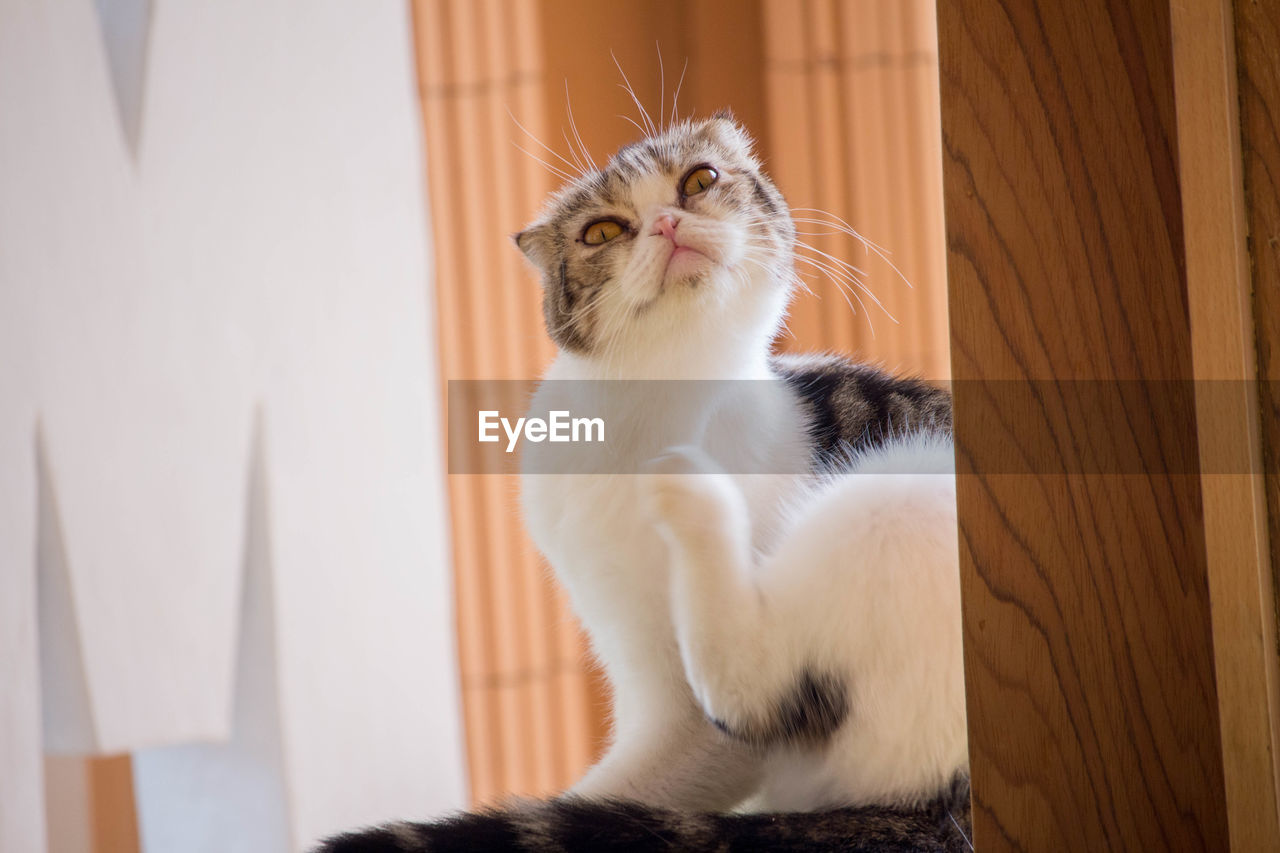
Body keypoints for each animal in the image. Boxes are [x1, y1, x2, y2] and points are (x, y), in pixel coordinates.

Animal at [314, 109, 962, 845]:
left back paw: (691, 491)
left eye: (700, 179)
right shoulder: (633, 657)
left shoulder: (696, 727)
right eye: (601, 230)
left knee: (750, 690)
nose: (666, 223)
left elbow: (667, 762)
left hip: (898, 490)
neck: (650, 414)